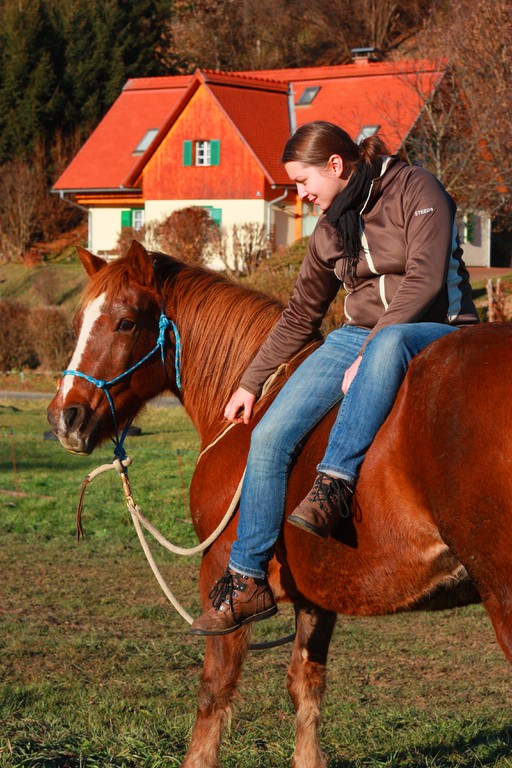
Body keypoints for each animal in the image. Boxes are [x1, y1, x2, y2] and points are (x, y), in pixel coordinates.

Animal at [49, 242, 512, 768]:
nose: (66, 417)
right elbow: (304, 687)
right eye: (80, 320)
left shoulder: (222, 576)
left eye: (126, 322)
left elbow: (214, 691)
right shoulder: (318, 592)